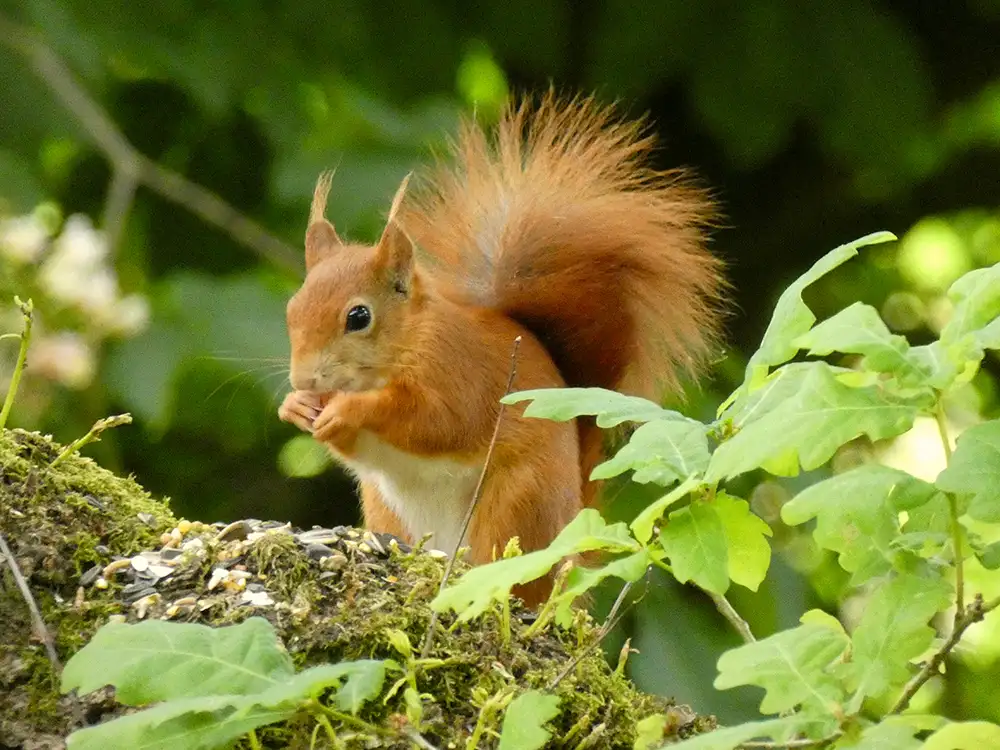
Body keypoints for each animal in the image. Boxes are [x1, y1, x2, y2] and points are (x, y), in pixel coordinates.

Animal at [278, 93, 725, 605]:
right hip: (391, 511)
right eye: (292, 308)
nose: (303, 379)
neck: (408, 342)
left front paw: (348, 410)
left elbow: (435, 422)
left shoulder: (457, 373)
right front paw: (296, 407)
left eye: (358, 317)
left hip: (515, 505)